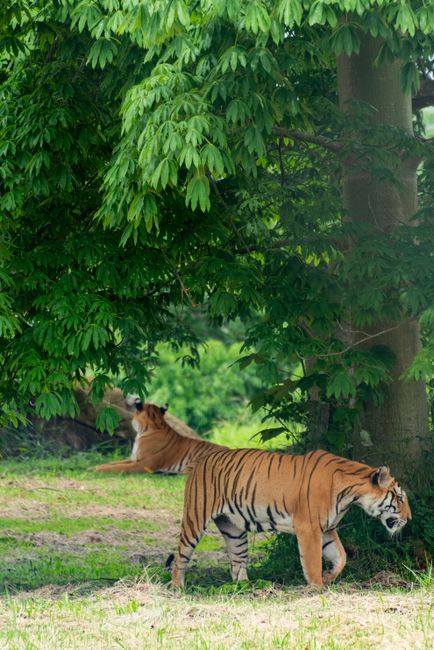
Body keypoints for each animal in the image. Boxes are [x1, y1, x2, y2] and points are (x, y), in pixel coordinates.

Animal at [92, 401, 227, 474]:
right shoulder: (134, 459)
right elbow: (112, 463)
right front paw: (92, 467)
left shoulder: (142, 464)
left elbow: (119, 467)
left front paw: (95, 470)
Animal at [169, 447, 411, 588]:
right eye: (400, 498)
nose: (409, 519)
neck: (351, 496)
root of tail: (202, 458)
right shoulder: (309, 528)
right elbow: (312, 561)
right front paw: (317, 587)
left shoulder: (327, 529)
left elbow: (341, 557)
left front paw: (328, 576)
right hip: (195, 517)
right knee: (181, 556)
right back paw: (178, 589)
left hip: (233, 529)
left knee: (237, 561)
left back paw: (245, 589)